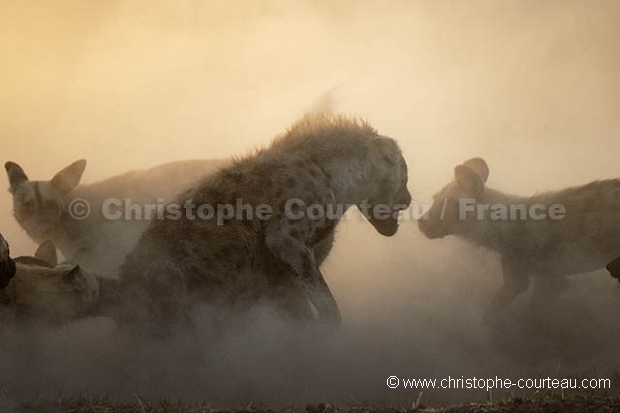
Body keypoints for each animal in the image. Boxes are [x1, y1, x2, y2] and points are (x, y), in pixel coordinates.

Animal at [416, 157, 620, 316]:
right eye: (434, 199)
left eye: (449, 204)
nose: (421, 222)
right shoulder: (552, 280)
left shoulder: (521, 282)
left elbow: (493, 314)